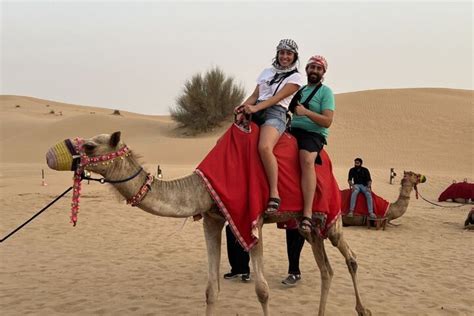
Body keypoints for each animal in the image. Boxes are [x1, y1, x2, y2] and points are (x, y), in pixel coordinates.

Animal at [46, 132, 372, 316]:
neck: (204, 186)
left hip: (331, 217)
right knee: (327, 269)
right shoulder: (213, 218)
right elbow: (211, 290)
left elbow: (262, 291)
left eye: (89, 146)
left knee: (351, 258)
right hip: (310, 226)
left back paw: (364, 309)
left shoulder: (252, 221)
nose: (50, 155)